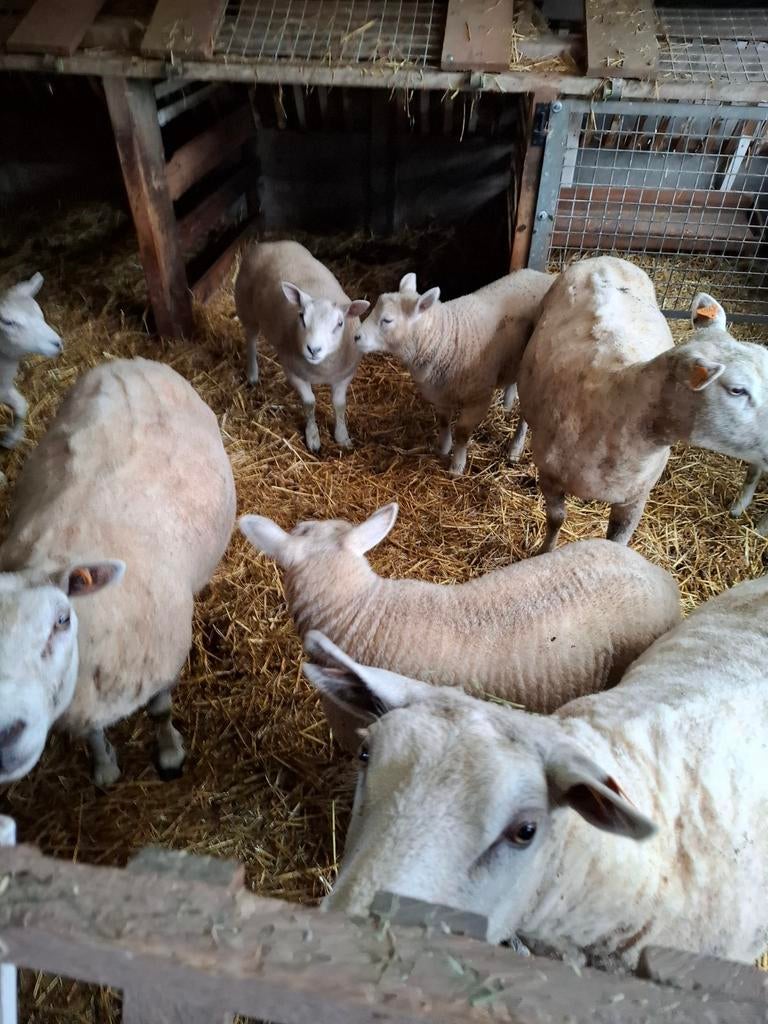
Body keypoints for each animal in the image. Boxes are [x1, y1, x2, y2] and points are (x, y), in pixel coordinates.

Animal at [0, 272, 62, 455]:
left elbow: (22, 406)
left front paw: (12, 439)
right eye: (8, 322)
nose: (58, 344)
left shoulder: (3, 388)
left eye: (40, 313)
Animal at [0, 357, 236, 787]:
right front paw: (105, 767)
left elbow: (160, 711)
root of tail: (126, 361)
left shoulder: (161, 664)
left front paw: (170, 755)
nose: (5, 734)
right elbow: (92, 733)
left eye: (61, 620)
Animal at [234, 240, 369, 453]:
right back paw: (253, 375)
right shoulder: (294, 373)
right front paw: (313, 438)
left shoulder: (344, 376)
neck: (322, 370)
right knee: (251, 341)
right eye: (301, 317)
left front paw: (342, 437)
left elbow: (339, 404)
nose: (313, 349)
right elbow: (309, 403)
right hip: (246, 309)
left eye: (340, 323)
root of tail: (270, 243)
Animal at [354, 269, 554, 475]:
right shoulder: (439, 392)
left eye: (387, 320)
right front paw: (442, 448)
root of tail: (541, 274)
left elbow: (462, 432)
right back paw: (507, 405)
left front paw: (457, 466)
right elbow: (443, 421)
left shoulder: (478, 398)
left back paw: (515, 449)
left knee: (525, 417)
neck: (445, 337)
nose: (356, 336)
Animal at [517, 256, 768, 551]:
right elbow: (556, 520)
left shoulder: (636, 498)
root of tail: (611, 257)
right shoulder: (549, 476)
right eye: (737, 390)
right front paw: (545, 551)